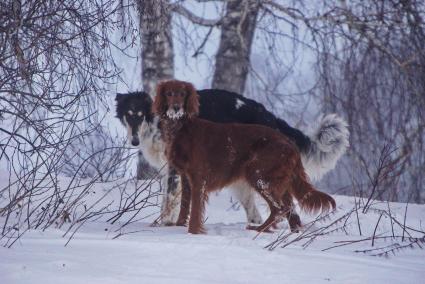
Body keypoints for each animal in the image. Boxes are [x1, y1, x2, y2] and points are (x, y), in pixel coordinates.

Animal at [152, 79, 334, 233]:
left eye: (183, 94)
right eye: (169, 93)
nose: (176, 108)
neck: (182, 128)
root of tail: (289, 143)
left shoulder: (198, 177)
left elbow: (195, 210)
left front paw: (193, 232)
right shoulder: (185, 176)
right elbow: (184, 204)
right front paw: (178, 226)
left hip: (259, 175)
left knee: (279, 209)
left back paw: (259, 229)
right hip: (277, 181)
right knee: (289, 211)